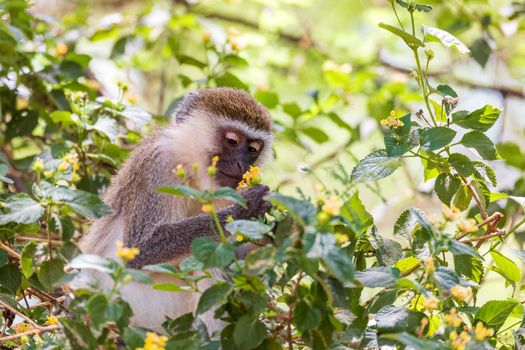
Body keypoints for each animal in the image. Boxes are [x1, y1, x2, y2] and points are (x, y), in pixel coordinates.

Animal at [79, 87, 274, 330]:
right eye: (231, 140)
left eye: (253, 149)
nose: (243, 165)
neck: (191, 171)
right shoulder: (158, 164)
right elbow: (138, 250)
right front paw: (246, 209)